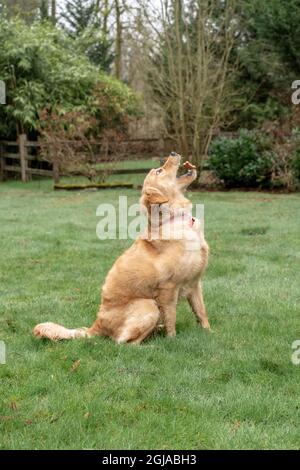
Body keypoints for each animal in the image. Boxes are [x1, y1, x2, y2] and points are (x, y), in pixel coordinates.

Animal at [33, 152, 211, 344]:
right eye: (159, 171)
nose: (173, 153)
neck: (174, 219)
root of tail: (96, 325)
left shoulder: (195, 283)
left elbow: (201, 312)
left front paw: (210, 333)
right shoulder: (168, 289)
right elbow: (171, 319)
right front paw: (172, 340)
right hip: (149, 305)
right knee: (124, 343)